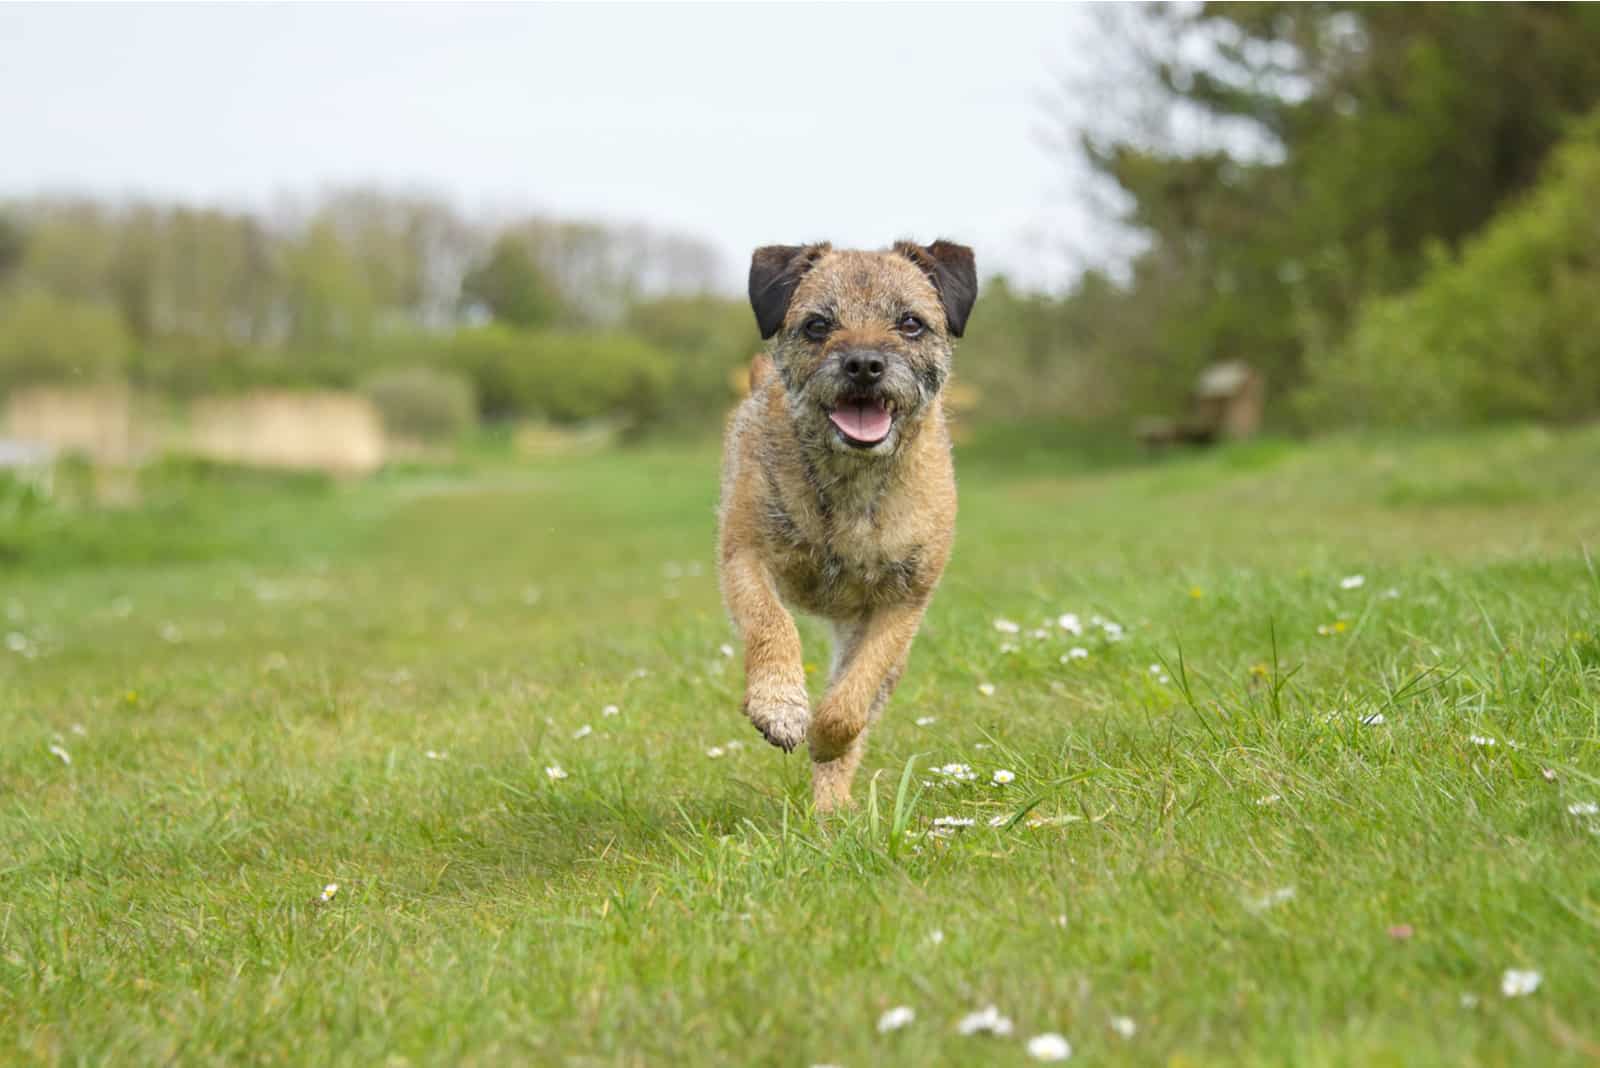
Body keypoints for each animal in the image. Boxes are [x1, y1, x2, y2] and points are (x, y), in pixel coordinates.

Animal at [723, 239, 972, 808]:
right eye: (818, 325)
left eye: (910, 323)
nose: (863, 364)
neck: (851, 480)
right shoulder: (745, 556)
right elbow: (771, 622)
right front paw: (780, 706)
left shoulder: (902, 603)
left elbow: (852, 698)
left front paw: (825, 737)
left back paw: (832, 808)